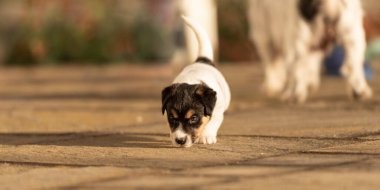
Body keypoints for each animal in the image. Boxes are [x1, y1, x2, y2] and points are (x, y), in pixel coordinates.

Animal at [162, 15, 230, 148]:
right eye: (172, 118)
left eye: (194, 118)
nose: (180, 141)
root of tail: (202, 60)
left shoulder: (218, 109)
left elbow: (212, 122)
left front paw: (206, 136)